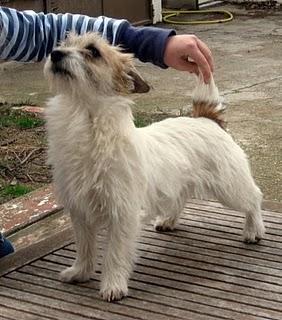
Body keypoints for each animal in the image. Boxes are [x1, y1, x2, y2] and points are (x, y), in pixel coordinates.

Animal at [43, 33, 264, 302]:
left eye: (93, 51)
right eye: (64, 43)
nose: (55, 54)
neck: (84, 116)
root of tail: (206, 117)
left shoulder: (122, 214)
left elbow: (114, 254)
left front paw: (113, 285)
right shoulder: (80, 212)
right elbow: (84, 247)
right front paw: (80, 272)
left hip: (229, 187)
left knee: (253, 198)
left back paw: (254, 229)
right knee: (180, 197)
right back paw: (168, 219)